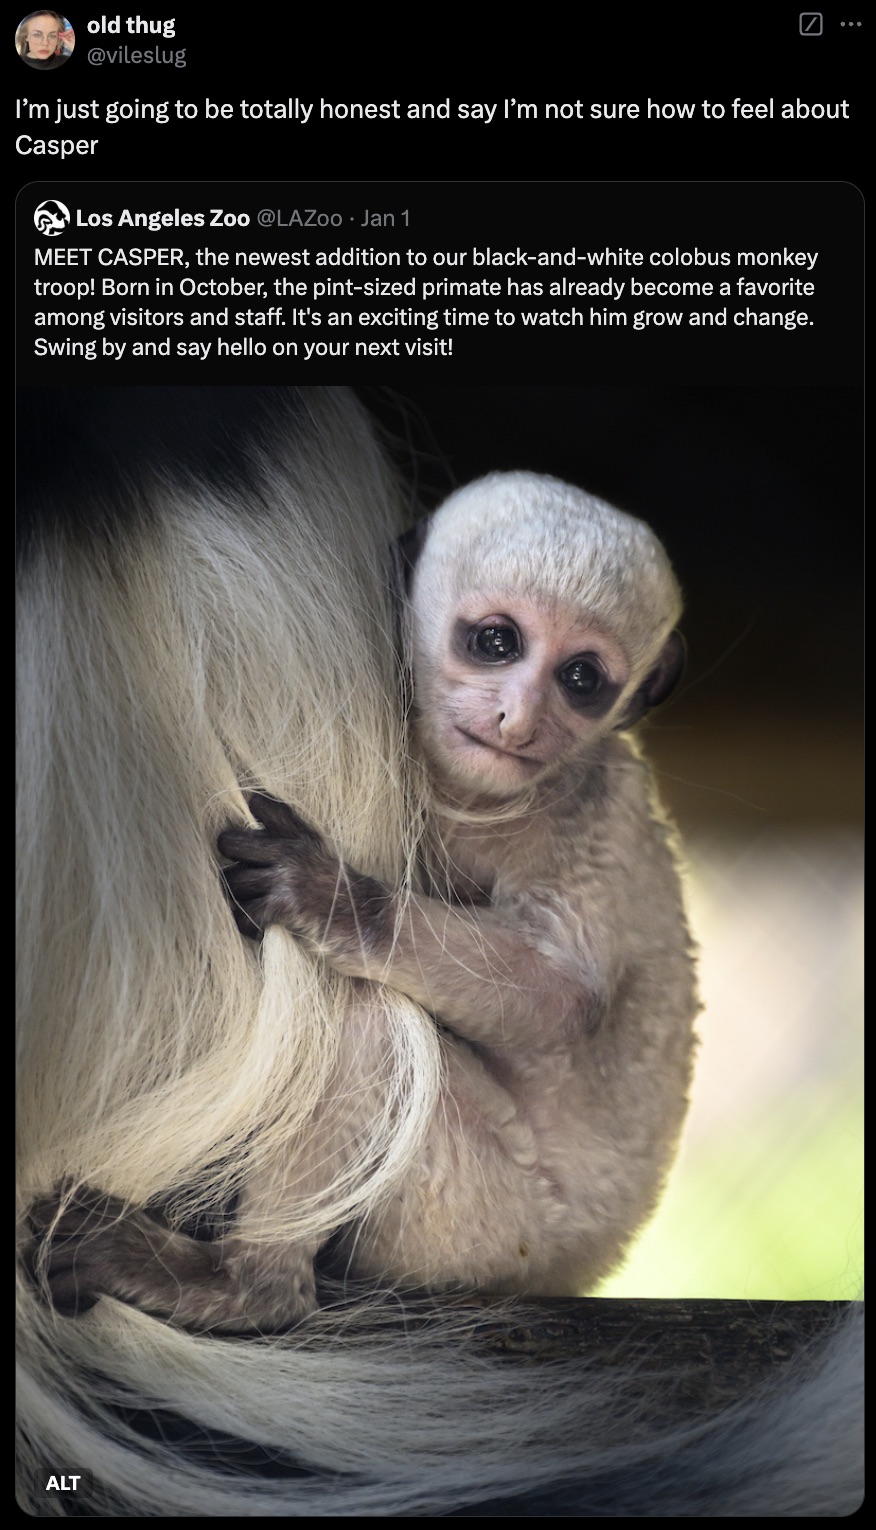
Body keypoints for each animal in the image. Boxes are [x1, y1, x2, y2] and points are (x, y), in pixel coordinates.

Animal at [34, 474, 697, 1328]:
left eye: (582, 679)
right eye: (497, 642)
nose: (519, 717)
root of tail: (581, 1263)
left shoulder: (586, 814)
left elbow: (562, 999)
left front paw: (330, 897)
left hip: (485, 1223)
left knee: (364, 1016)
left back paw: (245, 1284)